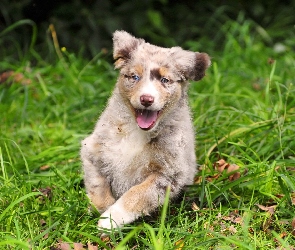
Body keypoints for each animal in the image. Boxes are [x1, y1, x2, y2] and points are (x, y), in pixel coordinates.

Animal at [81, 31, 210, 230]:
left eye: (165, 80)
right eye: (134, 77)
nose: (146, 99)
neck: (137, 131)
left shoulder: (168, 174)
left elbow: (138, 194)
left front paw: (110, 220)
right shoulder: (93, 150)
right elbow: (97, 186)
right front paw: (101, 211)